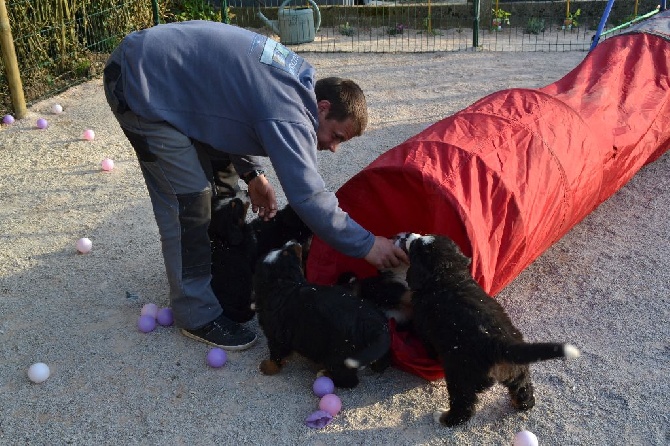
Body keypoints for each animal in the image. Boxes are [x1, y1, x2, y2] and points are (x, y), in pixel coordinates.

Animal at [256, 240, 394, 386]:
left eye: (287, 252)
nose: (293, 241)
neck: (282, 285)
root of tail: (373, 325)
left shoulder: (276, 335)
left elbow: (275, 355)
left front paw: (267, 367)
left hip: (338, 354)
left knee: (349, 380)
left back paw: (326, 374)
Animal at [402, 233, 580, 426]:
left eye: (415, 247)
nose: (407, 235)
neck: (448, 276)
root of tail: (500, 343)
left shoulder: (424, 327)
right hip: (517, 370)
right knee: (523, 388)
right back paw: (523, 404)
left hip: (461, 377)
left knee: (464, 407)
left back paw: (444, 418)